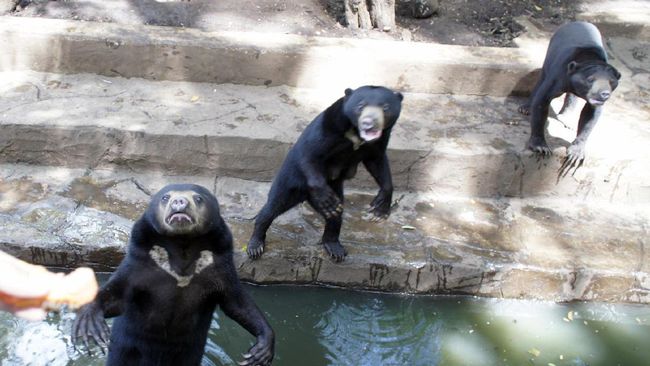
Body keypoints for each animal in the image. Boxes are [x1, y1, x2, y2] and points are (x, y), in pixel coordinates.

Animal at [71, 184, 274, 366]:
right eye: (165, 197)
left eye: (198, 198)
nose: (179, 202)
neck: (181, 246)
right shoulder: (139, 264)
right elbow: (118, 295)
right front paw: (89, 321)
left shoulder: (220, 267)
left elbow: (236, 303)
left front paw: (261, 349)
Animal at [247, 85, 402, 264]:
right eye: (360, 105)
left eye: (385, 107)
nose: (369, 123)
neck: (356, 134)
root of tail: (306, 197)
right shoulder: (329, 127)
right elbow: (310, 154)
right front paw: (326, 197)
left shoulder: (380, 140)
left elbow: (377, 162)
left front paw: (380, 208)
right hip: (289, 181)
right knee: (273, 207)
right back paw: (256, 244)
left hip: (335, 188)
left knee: (336, 216)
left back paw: (334, 247)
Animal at [520, 20, 620, 177]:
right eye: (591, 79)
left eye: (611, 82)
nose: (604, 94)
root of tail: (577, 22)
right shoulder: (559, 74)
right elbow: (542, 101)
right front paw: (541, 147)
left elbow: (590, 116)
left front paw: (575, 155)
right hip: (550, 54)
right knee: (541, 78)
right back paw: (526, 108)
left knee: (572, 97)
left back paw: (566, 118)